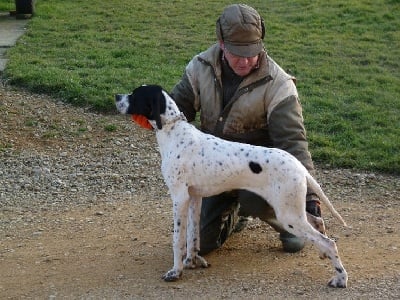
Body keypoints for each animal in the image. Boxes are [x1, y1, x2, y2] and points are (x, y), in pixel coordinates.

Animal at [115, 85, 346, 288]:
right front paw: (192, 262)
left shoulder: (179, 198)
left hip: (287, 215)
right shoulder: (194, 198)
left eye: (135, 95)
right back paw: (323, 254)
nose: (117, 96)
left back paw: (340, 278)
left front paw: (176, 271)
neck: (174, 132)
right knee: (318, 222)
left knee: (330, 241)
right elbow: (193, 235)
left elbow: (178, 239)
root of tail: (298, 165)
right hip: (291, 210)